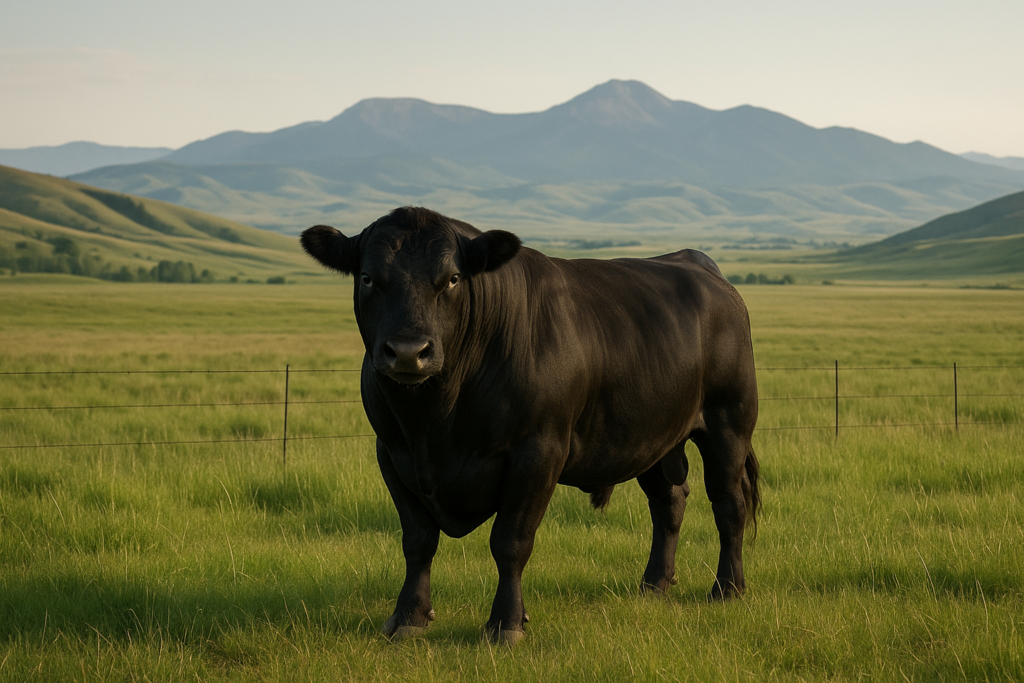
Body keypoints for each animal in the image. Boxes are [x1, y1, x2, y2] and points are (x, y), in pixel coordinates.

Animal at [300, 207, 760, 645]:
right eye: (367, 278)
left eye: (452, 279)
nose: (410, 352)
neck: (434, 419)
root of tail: (698, 263)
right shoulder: (393, 452)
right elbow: (417, 540)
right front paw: (408, 618)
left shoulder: (537, 452)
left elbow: (510, 542)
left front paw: (506, 622)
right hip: (652, 439)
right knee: (669, 501)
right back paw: (653, 585)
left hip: (729, 422)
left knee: (729, 504)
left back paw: (728, 588)